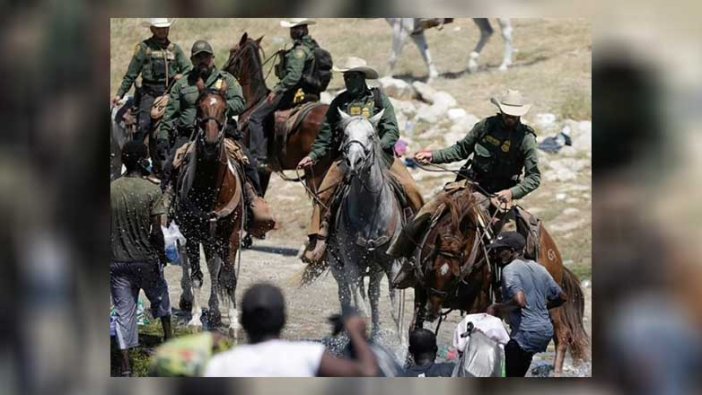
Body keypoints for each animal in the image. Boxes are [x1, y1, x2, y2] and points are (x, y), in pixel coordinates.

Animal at [173, 79, 245, 340]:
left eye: (224, 109)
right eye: (199, 107)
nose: (212, 142)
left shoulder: (231, 236)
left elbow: (229, 278)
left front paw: (234, 323)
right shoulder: (194, 235)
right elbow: (196, 277)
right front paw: (195, 319)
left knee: (215, 269)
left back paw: (214, 311)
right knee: (190, 261)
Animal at [328, 110, 408, 338]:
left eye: (371, 135)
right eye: (345, 134)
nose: (353, 161)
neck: (371, 212)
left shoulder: (392, 265)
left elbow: (396, 312)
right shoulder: (351, 265)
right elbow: (360, 310)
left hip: (375, 269)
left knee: (373, 295)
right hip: (338, 266)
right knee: (346, 296)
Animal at [388, 18, 516, 80]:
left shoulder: (403, 27)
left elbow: (393, 58)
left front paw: (386, 80)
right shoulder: (415, 31)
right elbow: (424, 51)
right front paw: (433, 75)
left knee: (506, 31)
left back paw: (505, 65)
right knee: (487, 31)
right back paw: (472, 64)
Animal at [410, 189, 592, 378]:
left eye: (454, 274)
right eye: (430, 268)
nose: (432, 311)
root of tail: (554, 254)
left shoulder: (480, 300)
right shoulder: (421, 292)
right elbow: (414, 328)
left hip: (551, 304)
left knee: (562, 333)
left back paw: (556, 371)